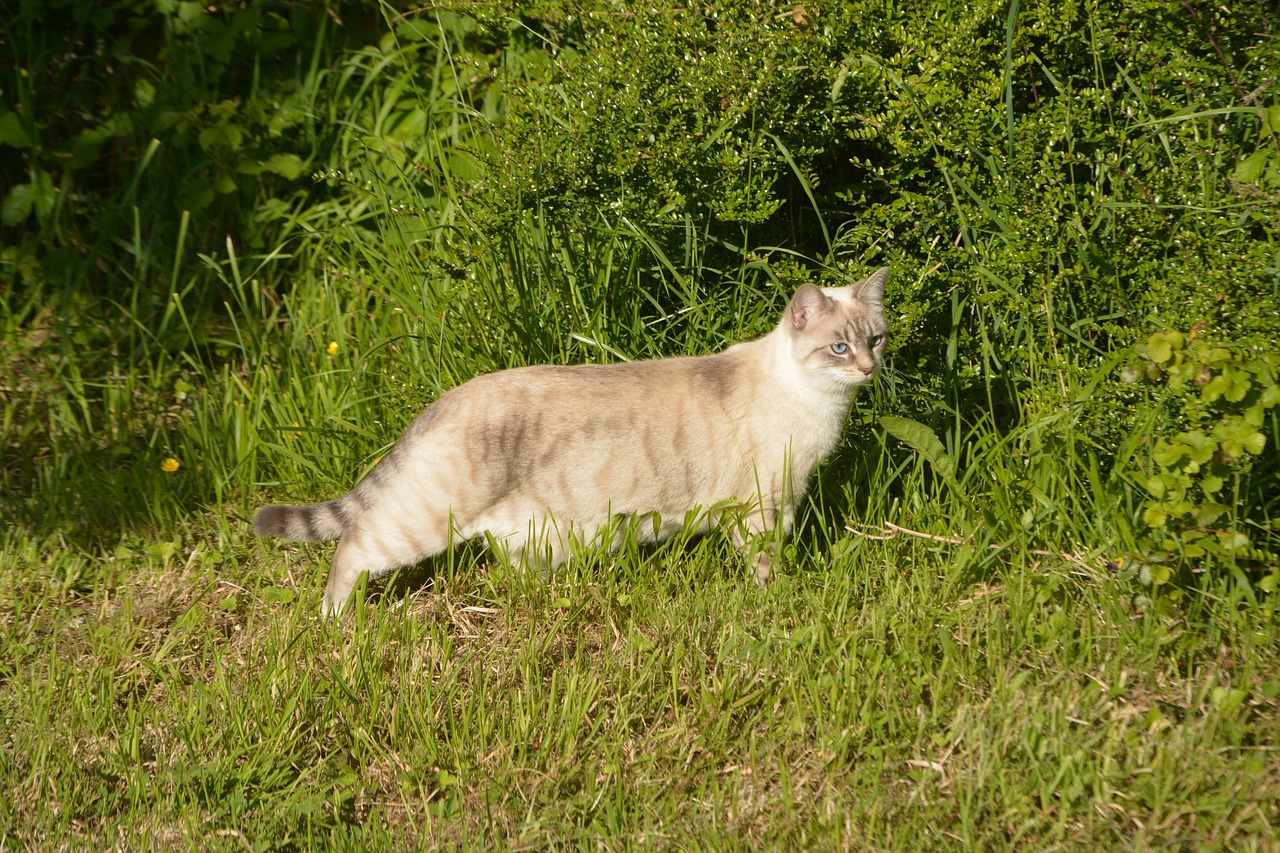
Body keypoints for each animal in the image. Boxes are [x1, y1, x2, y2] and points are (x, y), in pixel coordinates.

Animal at [250, 267, 890, 612]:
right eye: (839, 347)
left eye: (877, 339)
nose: (867, 370)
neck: (818, 404)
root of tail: (447, 398)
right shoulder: (765, 508)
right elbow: (766, 566)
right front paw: (775, 600)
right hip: (421, 521)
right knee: (352, 546)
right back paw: (337, 624)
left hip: (528, 537)